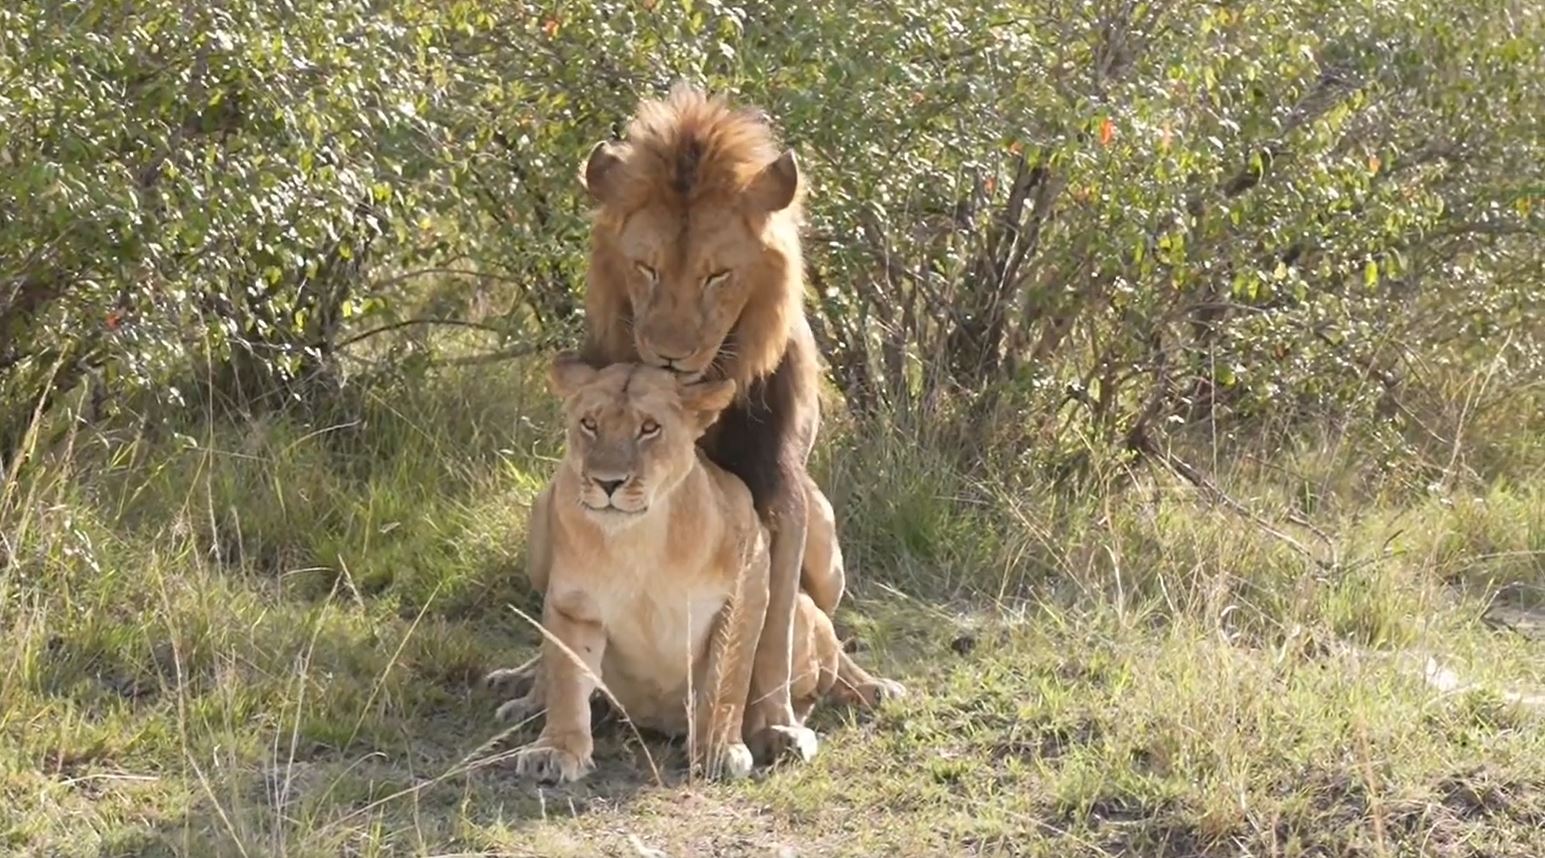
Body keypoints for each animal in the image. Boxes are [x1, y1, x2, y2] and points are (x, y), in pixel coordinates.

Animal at [512, 357, 857, 783]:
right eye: (589, 424)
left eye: (649, 428)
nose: (607, 482)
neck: (637, 541)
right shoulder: (573, 604)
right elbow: (566, 679)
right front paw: (555, 749)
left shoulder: (747, 579)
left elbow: (727, 678)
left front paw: (718, 749)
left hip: (812, 595)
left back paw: (789, 731)